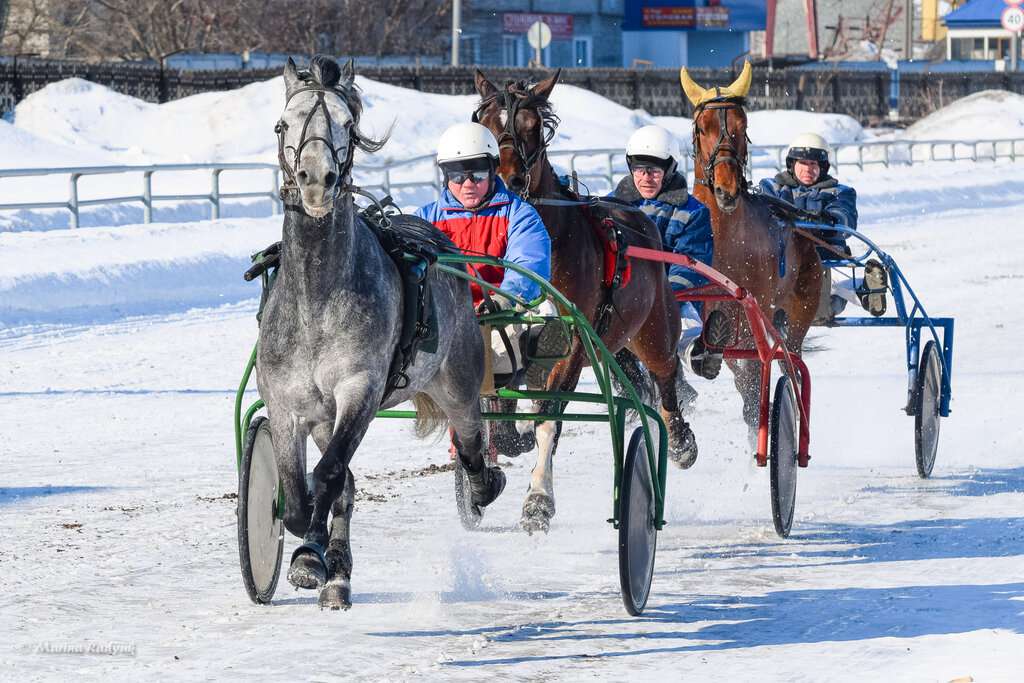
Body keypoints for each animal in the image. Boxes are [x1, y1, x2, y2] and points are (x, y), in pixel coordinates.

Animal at [253, 57, 501, 610]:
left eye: (347, 125)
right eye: (282, 124)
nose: (317, 180)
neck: (318, 299)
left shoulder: (359, 389)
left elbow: (325, 476)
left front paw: (309, 558)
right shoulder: (287, 403)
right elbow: (300, 494)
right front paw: (318, 558)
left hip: (458, 379)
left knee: (472, 438)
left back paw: (482, 487)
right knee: (342, 484)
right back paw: (338, 574)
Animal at [471, 68, 696, 532]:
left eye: (532, 127)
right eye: (484, 122)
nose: (506, 180)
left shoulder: (574, 345)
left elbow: (549, 416)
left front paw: (538, 500)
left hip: (653, 330)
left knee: (665, 377)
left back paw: (681, 440)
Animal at [679, 62, 823, 438]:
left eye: (742, 127)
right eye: (702, 128)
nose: (726, 190)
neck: (727, 240)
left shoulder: (755, 307)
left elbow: (756, 366)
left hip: (799, 307)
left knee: (788, 361)